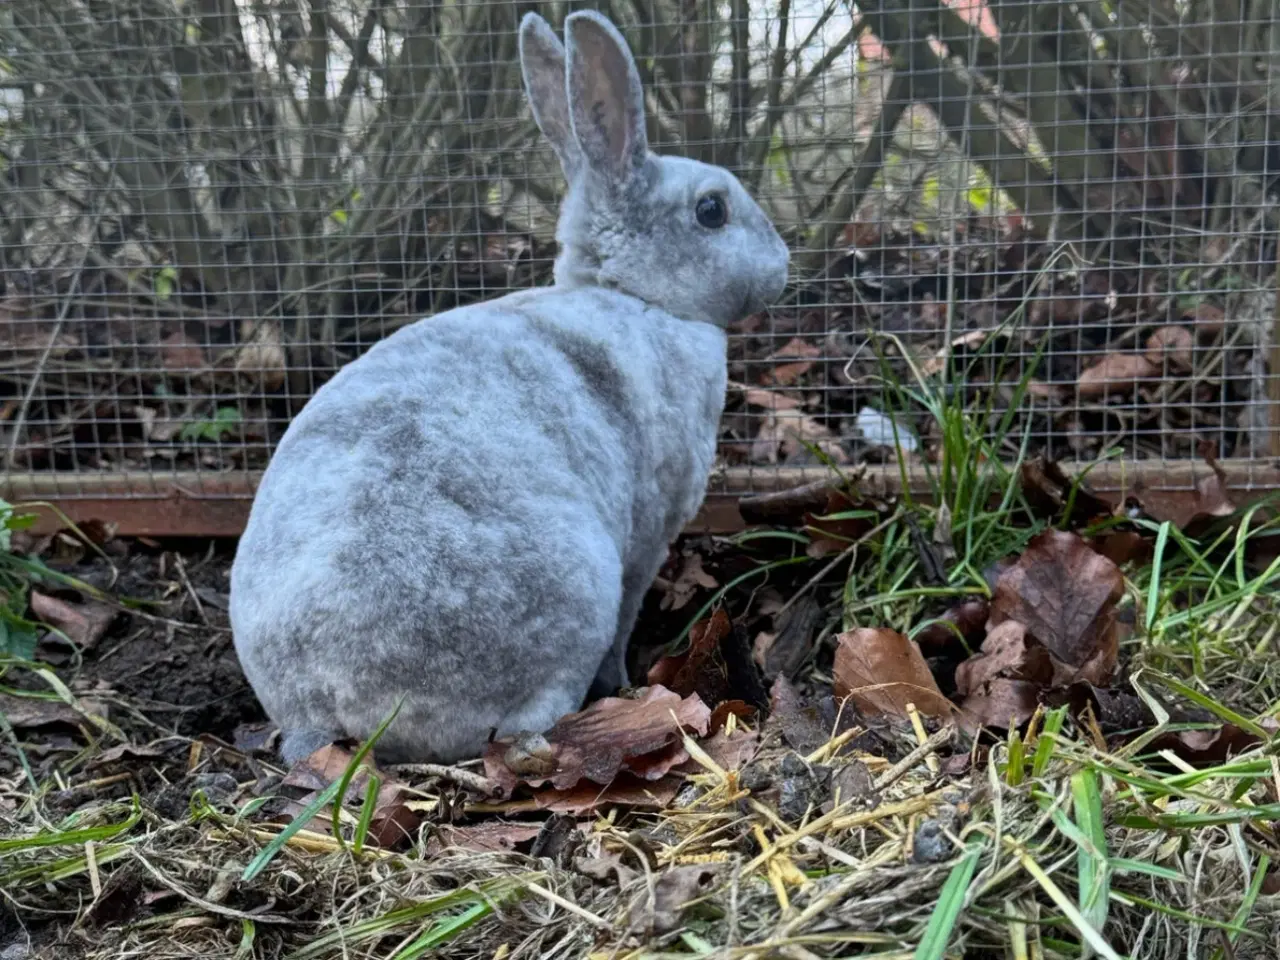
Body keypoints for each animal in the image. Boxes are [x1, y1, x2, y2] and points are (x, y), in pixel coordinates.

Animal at [230, 7, 788, 768]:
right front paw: (624, 675)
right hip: (575, 587)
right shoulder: (647, 536)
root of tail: (333, 701)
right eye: (711, 211)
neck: (635, 296)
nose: (782, 266)